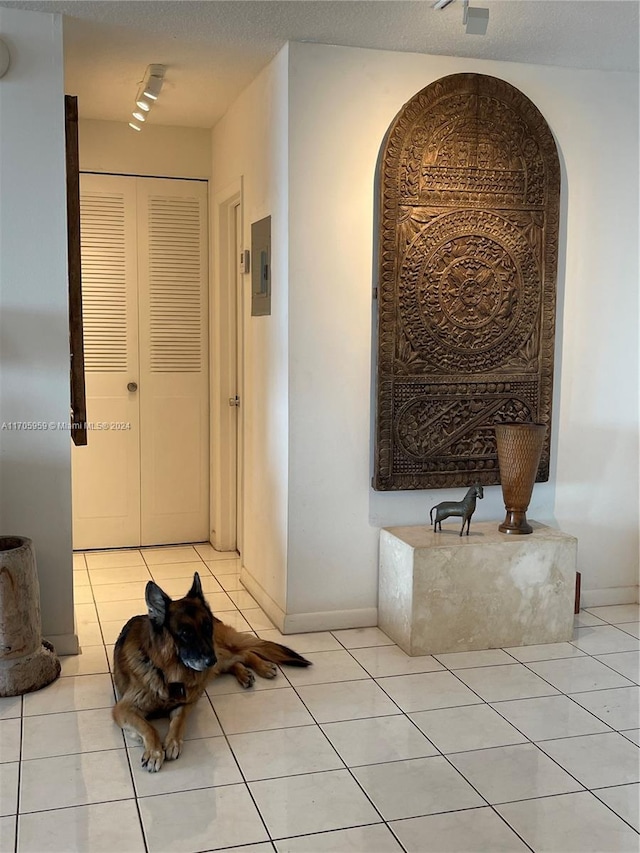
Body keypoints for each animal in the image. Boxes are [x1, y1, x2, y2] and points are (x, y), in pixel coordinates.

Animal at [113, 572, 312, 772]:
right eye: (185, 633)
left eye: (207, 627)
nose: (210, 660)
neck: (167, 673)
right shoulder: (123, 709)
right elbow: (149, 727)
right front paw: (154, 752)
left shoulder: (187, 702)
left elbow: (178, 722)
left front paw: (173, 742)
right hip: (218, 660)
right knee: (234, 660)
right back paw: (245, 674)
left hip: (219, 651)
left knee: (244, 653)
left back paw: (262, 667)